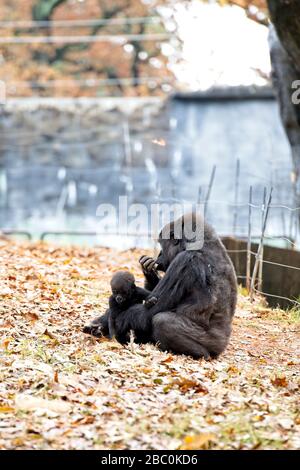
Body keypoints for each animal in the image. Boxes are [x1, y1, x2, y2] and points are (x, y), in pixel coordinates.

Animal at [84, 214, 237, 360]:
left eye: (162, 245)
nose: (159, 254)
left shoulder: (184, 261)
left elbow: (147, 313)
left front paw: (111, 323)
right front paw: (148, 270)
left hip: (214, 344)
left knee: (162, 321)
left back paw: (200, 354)